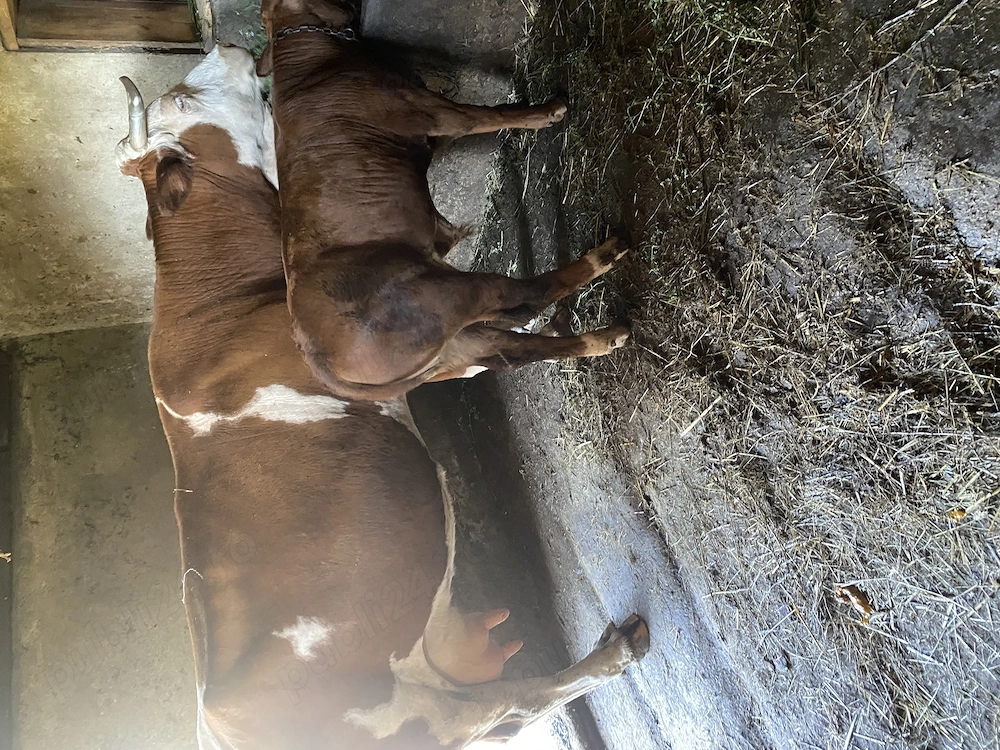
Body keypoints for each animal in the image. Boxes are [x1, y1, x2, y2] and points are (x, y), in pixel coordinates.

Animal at [116, 44, 649, 749]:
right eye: (181, 100)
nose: (227, 46)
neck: (218, 293)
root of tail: (217, 716)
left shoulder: (433, 355)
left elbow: (509, 343)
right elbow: (516, 309)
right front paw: (599, 299)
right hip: (410, 711)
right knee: (510, 705)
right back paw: (615, 653)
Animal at [256, 0, 631, 402]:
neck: (304, 55)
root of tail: (318, 358)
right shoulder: (430, 109)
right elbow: (490, 114)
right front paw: (547, 113)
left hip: (457, 347)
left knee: (515, 349)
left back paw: (606, 338)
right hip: (447, 296)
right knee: (528, 295)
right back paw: (605, 256)